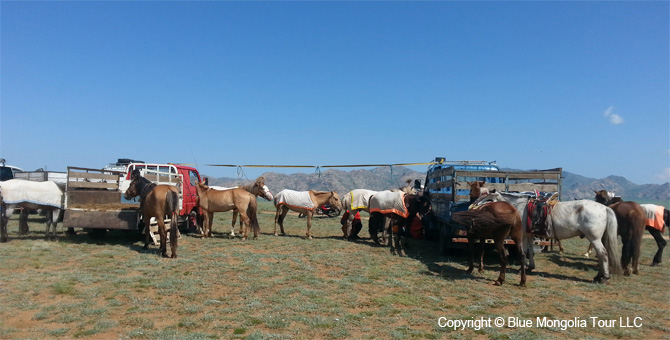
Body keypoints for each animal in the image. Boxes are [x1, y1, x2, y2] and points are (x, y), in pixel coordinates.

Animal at [476, 193, 624, 282]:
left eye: (488, 200)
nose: (476, 209)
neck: (519, 209)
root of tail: (605, 208)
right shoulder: (529, 235)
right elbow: (530, 251)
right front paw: (530, 267)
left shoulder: (523, 236)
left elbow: (524, 251)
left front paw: (522, 269)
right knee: (601, 255)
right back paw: (599, 276)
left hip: (594, 238)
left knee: (603, 254)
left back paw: (603, 277)